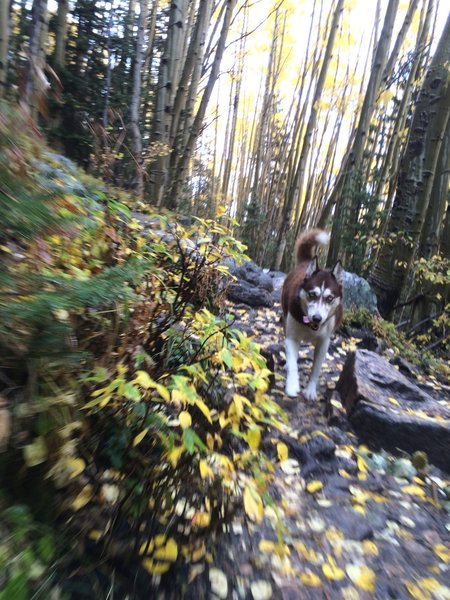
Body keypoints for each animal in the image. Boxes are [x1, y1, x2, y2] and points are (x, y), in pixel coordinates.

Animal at [282, 231, 344, 404]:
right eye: (312, 295)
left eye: (330, 298)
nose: (317, 318)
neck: (311, 327)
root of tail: (305, 262)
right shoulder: (292, 338)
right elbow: (293, 363)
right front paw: (292, 385)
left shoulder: (324, 343)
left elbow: (316, 369)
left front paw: (310, 390)